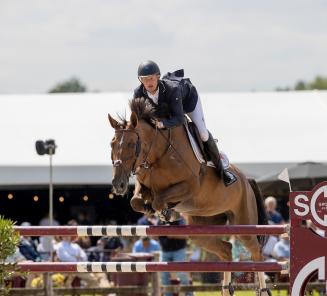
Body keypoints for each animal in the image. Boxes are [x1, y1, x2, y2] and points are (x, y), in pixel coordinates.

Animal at [109, 97, 270, 296]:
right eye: (112, 144)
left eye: (132, 144)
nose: (118, 184)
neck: (157, 156)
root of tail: (246, 180)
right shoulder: (144, 186)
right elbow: (136, 201)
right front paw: (154, 211)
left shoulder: (190, 187)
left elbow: (159, 200)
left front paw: (166, 213)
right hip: (201, 230)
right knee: (226, 249)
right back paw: (226, 289)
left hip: (243, 224)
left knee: (256, 252)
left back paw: (263, 290)